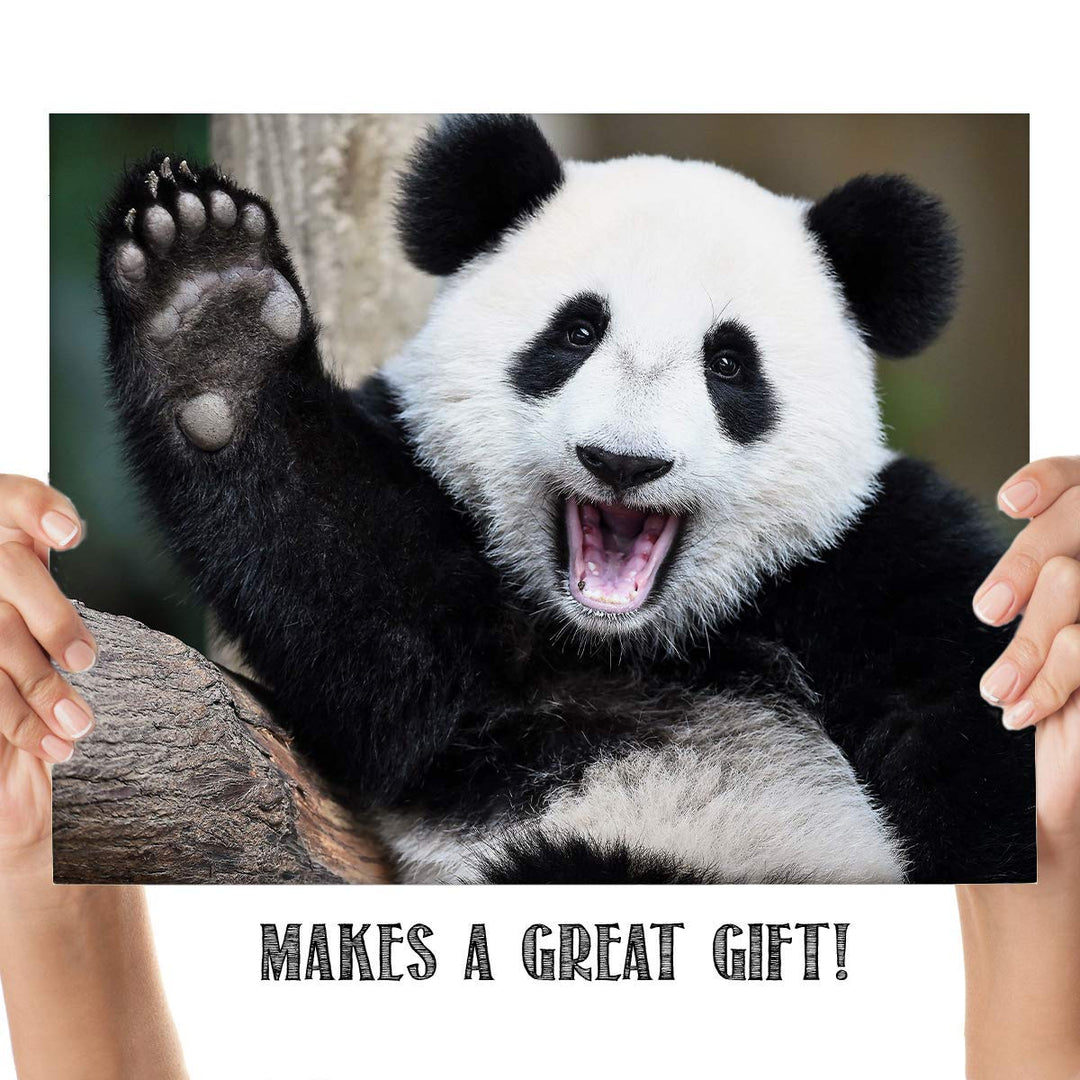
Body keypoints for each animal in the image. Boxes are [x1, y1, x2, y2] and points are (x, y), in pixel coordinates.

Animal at [96, 114, 1034, 885]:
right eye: (577, 332)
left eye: (729, 363)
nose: (623, 461)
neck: (633, 645)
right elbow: (371, 622)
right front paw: (212, 312)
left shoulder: (873, 556)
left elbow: (974, 723)